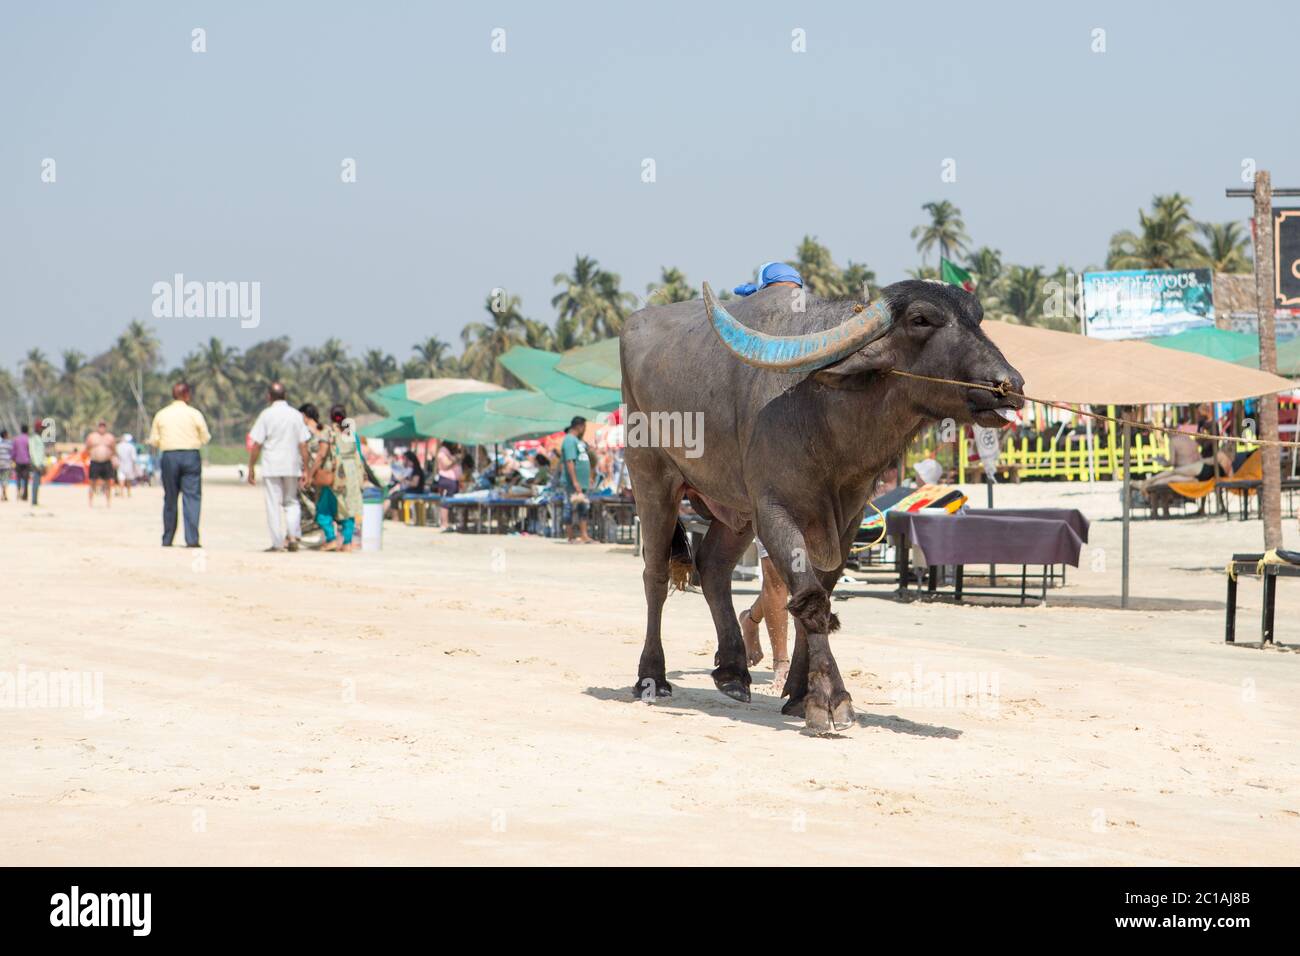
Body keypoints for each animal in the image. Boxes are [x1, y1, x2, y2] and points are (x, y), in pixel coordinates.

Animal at [618, 280, 1024, 738]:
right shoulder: (774, 512)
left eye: (977, 317)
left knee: (713, 567)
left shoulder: (845, 520)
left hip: (735, 511)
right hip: (651, 478)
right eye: (921, 319)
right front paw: (830, 700)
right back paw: (652, 676)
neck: (823, 416)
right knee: (655, 574)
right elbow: (810, 601)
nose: (1009, 384)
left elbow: (818, 596)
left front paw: (798, 694)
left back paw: (734, 672)